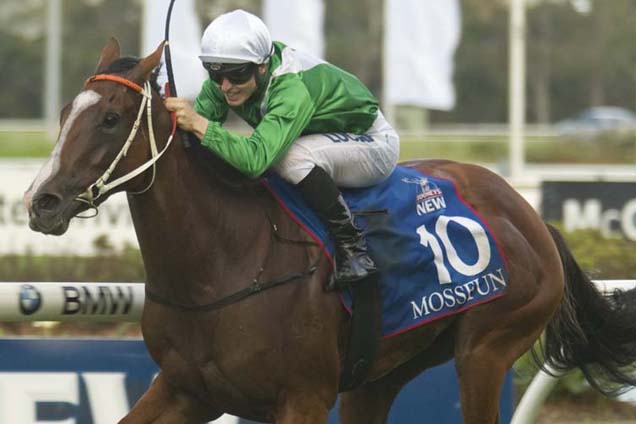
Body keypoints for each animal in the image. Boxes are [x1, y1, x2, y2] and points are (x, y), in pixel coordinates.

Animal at [23, 39, 636, 424]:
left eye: (111, 119)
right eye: (63, 112)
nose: (41, 203)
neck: (223, 263)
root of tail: (531, 216)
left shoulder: (302, 399)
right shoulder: (186, 389)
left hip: (487, 349)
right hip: (382, 372)